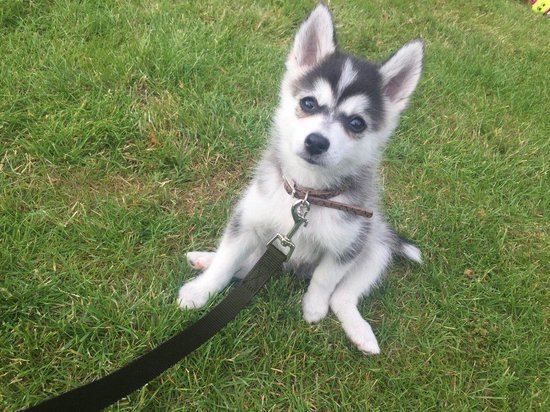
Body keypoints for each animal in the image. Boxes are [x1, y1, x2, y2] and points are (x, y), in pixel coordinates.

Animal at [179, 2, 424, 354]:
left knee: (343, 296)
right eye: (308, 103)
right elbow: (227, 261)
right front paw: (202, 290)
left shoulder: (346, 245)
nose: (317, 142)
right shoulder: (248, 220)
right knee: (243, 266)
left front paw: (313, 307)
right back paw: (204, 260)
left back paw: (360, 332)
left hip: (374, 247)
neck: (307, 192)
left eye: (357, 123)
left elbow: (325, 278)